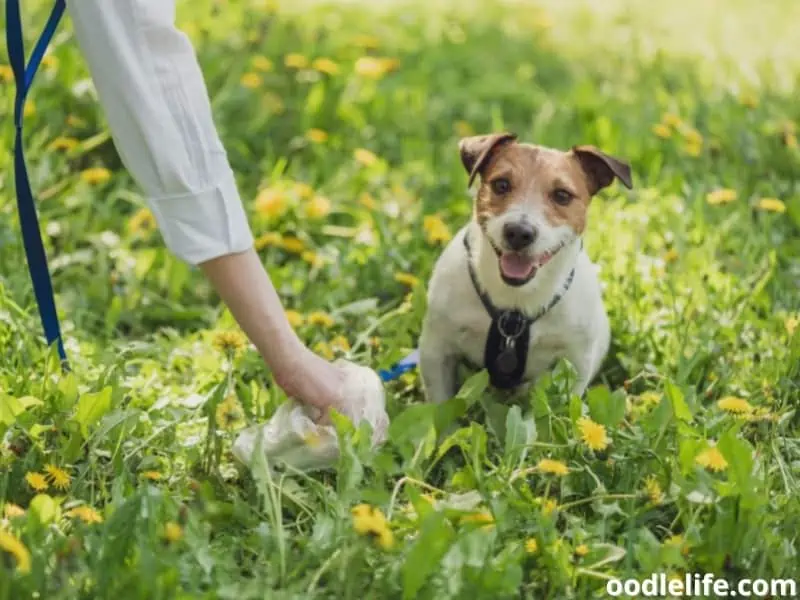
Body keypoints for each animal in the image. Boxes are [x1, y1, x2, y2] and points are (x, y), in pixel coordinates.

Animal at [418, 131, 632, 404]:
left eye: (562, 195)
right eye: (501, 185)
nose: (519, 233)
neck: (515, 303)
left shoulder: (575, 362)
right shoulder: (437, 350)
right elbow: (440, 405)